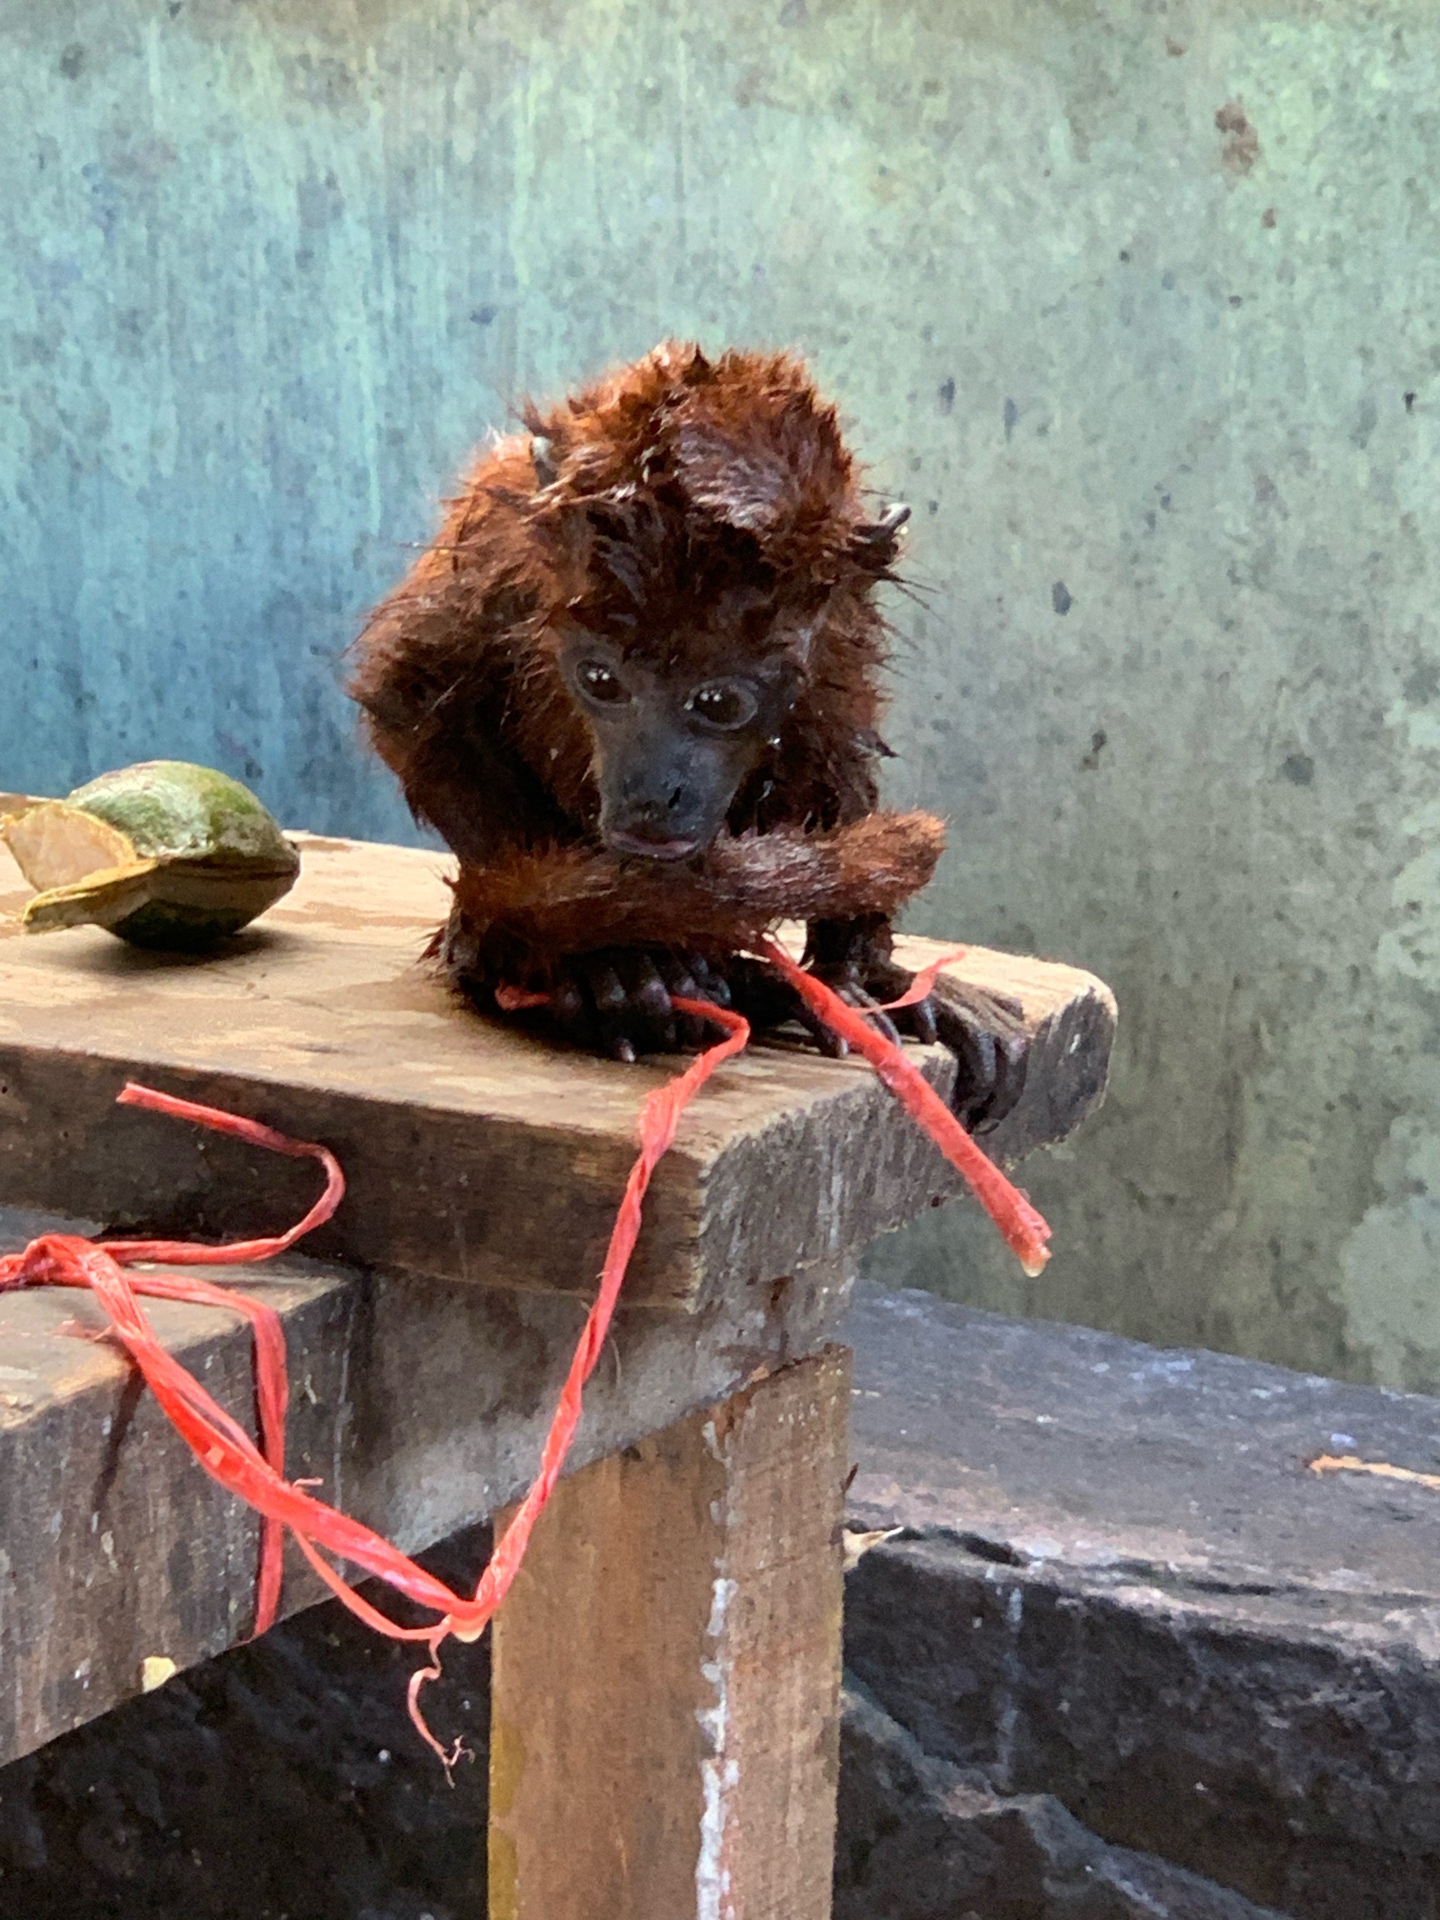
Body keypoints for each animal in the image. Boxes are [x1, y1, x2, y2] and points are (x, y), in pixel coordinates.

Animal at [349, 342, 1026, 1126]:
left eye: (719, 702)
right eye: (601, 679)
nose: (653, 790)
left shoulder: (844, 619)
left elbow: (842, 733)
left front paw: (866, 967)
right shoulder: (493, 552)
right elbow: (410, 689)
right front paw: (595, 955)